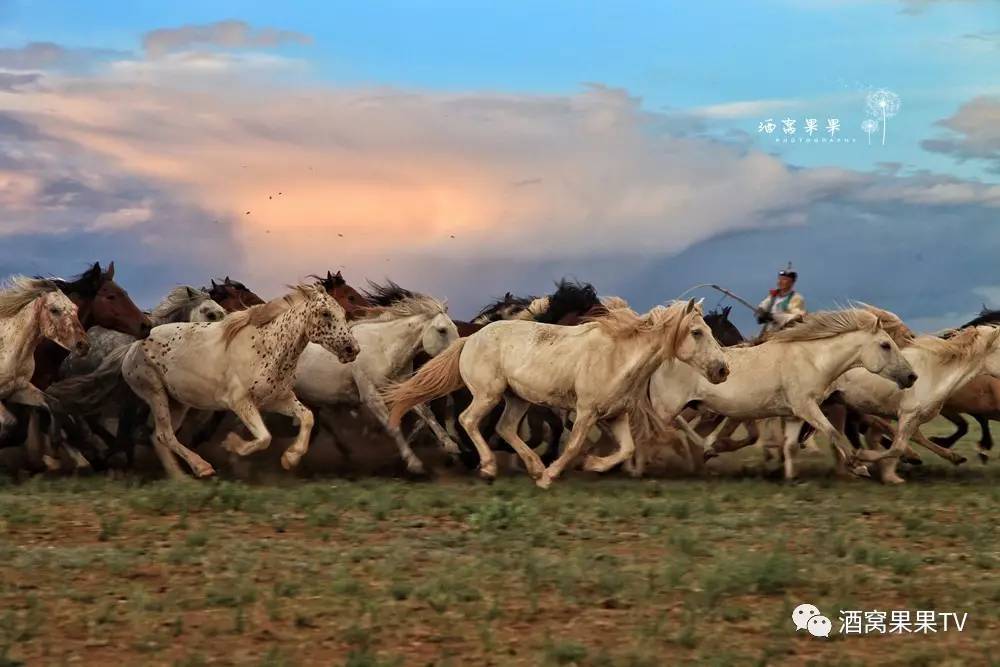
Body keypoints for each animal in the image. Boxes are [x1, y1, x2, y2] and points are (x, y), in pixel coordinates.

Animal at [117, 284, 360, 478]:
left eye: (342, 312)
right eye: (326, 313)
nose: (353, 349)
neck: (268, 347)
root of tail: (133, 346)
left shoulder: (278, 399)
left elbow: (307, 417)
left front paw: (290, 458)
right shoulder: (240, 402)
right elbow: (265, 438)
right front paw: (232, 445)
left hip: (178, 403)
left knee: (158, 437)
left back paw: (181, 478)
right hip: (155, 393)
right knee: (164, 434)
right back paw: (202, 467)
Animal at [292, 282, 458, 474]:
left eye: (456, 328)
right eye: (442, 330)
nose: (460, 357)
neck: (384, 349)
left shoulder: (400, 387)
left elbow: (426, 413)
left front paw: (451, 446)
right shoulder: (371, 396)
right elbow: (392, 426)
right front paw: (414, 463)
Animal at [388, 300, 728, 488]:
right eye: (697, 332)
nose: (722, 370)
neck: (618, 356)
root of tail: (469, 339)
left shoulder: (615, 414)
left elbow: (627, 448)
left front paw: (593, 465)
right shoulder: (586, 412)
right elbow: (574, 444)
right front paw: (551, 476)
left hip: (517, 398)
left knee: (505, 428)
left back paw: (532, 466)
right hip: (488, 394)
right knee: (468, 420)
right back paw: (489, 467)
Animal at [644, 308, 916, 480]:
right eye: (885, 345)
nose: (912, 376)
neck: (813, 360)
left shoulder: (795, 415)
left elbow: (791, 445)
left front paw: (789, 476)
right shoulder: (807, 407)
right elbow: (833, 433)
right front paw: (859, 466)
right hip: (668, 409)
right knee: (655, 434)